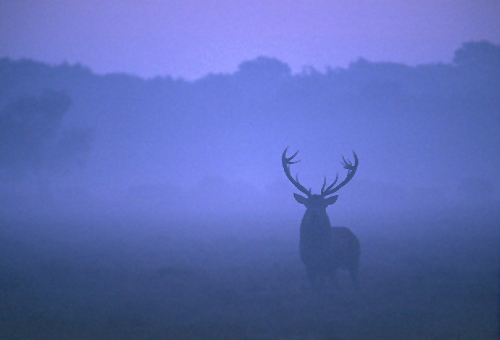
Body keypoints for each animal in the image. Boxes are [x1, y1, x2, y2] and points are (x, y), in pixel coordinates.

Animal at [282, 147, 360, 290]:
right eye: (307, 204)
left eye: (324, 204)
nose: (314, 214)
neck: (315, 249)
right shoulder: (308, 264)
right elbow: (315, 288)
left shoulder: (328, 263)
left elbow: (325, 286)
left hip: (355, 259)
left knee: (356, 281)